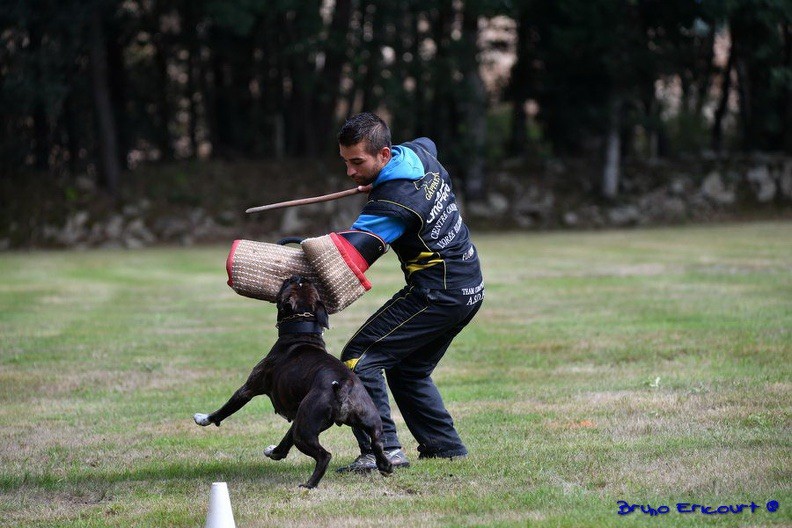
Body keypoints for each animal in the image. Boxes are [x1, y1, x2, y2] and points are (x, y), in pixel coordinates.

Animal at [195, 276, 392, 486]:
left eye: (290, 285)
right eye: (304, 284)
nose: (298, 276)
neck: (302, 333)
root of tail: (345, 385)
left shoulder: (248, 389)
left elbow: (225, 409)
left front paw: (203, 419)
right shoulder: (298, 416)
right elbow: (284, 443)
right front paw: (273, 452)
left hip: (303, 433)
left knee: (324, 456)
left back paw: (309, 485)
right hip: (370, 423)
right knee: (378, 445)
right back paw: (385, 467)